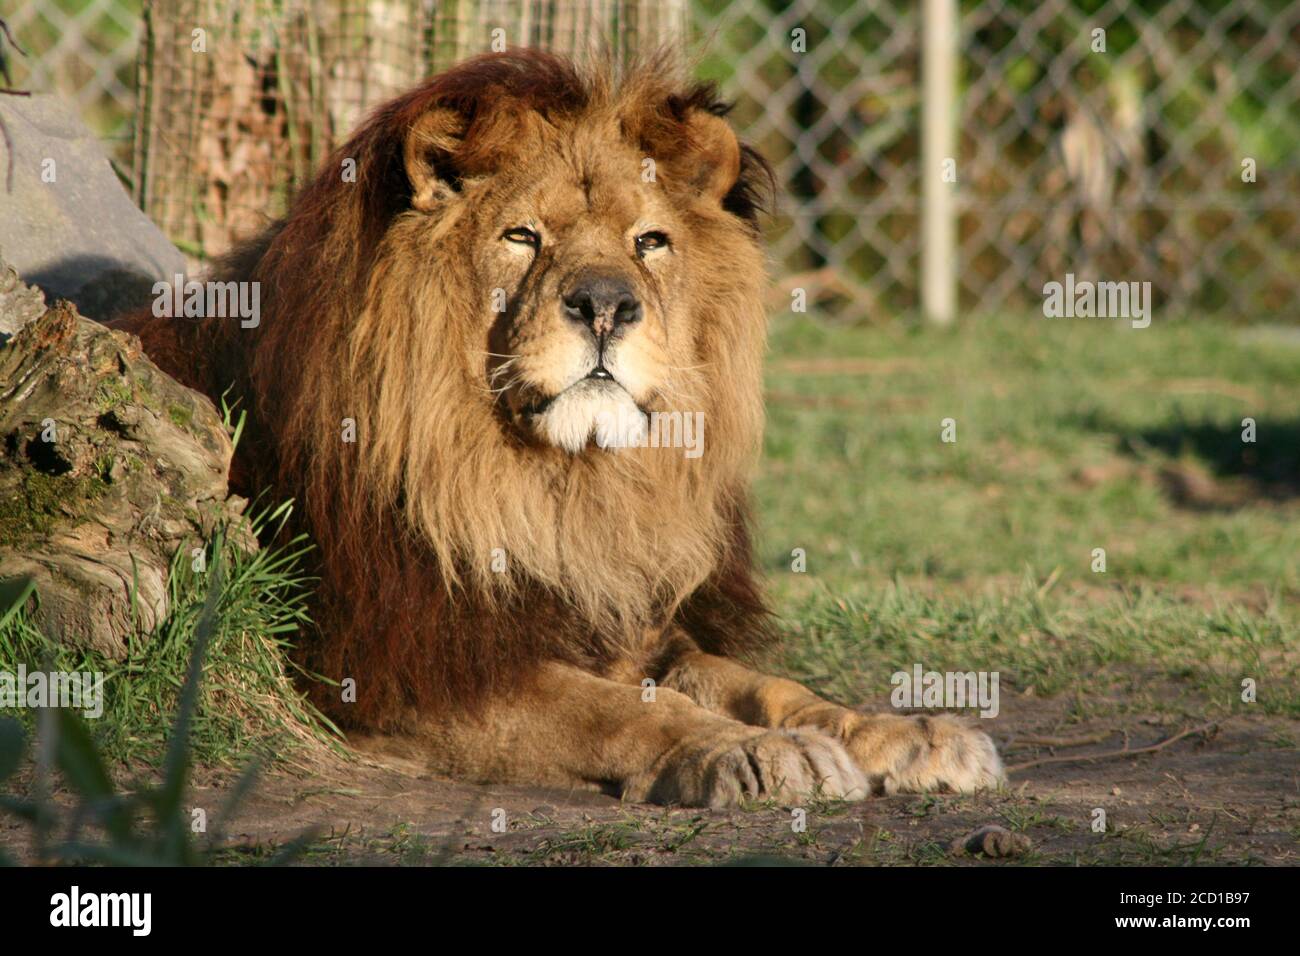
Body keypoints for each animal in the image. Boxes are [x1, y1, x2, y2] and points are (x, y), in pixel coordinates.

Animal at [116, 50, 1003, 806]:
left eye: (650, 241)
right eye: (521, 236)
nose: (606, 303)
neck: (557, 486)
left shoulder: (626, 620)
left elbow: (763, 685)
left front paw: (900, 731)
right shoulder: (402, 671)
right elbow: (612, 710)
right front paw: (746, 751)